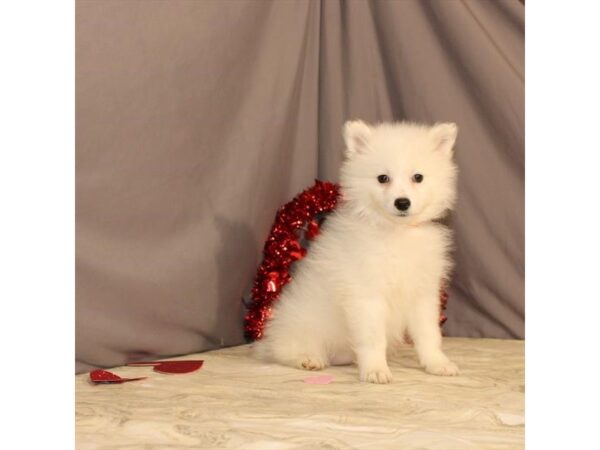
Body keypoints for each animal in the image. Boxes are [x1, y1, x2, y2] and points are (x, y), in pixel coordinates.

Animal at [254, 119, 460, 384]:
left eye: (418, 177)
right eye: (383, 178)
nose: (402, 202)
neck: (396, 232)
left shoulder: (422, 293)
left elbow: (428, 334)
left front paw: (437, 363)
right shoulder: (366, 294)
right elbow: (373, 338)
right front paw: (376, 369)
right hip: (301, 324)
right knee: (286, 349)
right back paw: (307, 359)